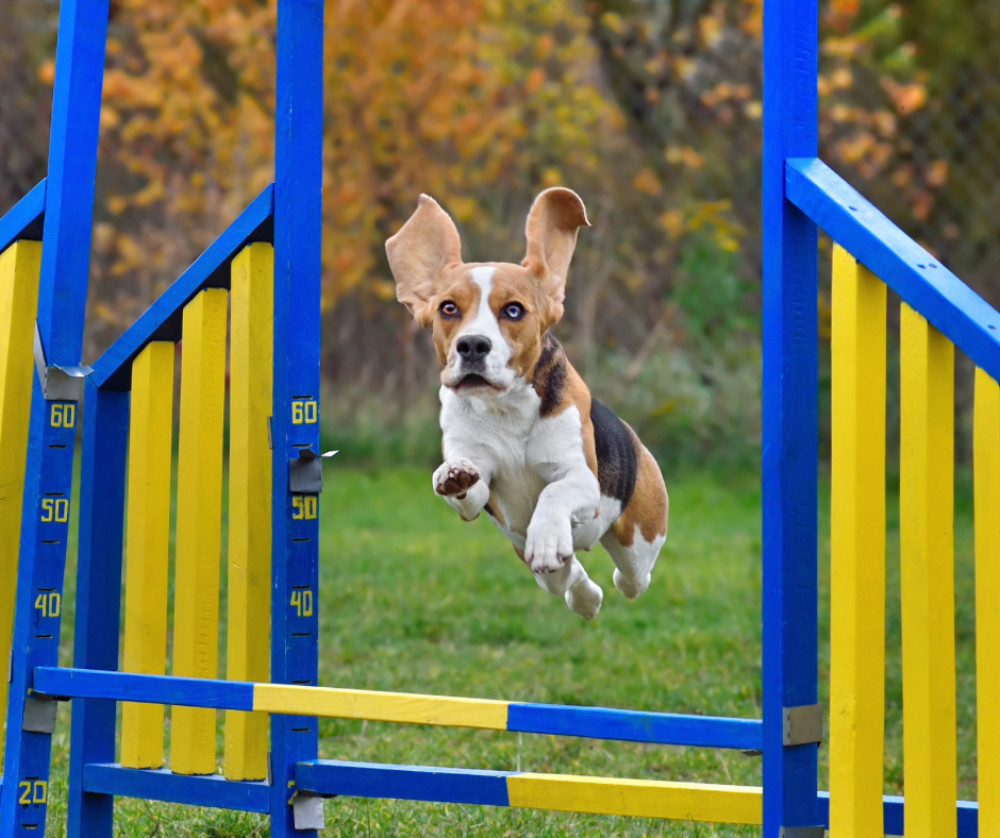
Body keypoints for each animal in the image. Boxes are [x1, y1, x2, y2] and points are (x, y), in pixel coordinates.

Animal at [386, 192, 668, 624]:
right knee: (566, 576)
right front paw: (452, 475)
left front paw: (549, 535)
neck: (506, 410)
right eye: (448, 308)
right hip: (527, 552)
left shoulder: (580, 478)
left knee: (632, 577)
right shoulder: (480, 488)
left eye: (514, 310)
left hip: (639, 538)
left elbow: (554, 492)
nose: (472, 345)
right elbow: (468, 490)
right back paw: (584, 596)